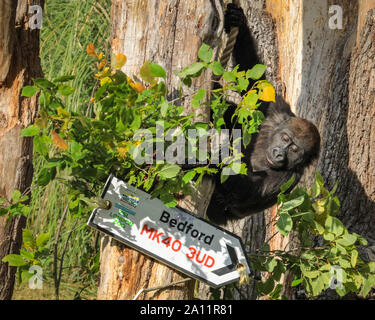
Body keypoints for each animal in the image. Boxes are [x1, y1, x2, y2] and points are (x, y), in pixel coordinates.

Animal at [207, 5, 322, 225]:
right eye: (285, 138)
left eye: (294, 149)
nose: (279, 153)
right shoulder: (276, 112)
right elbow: (257, 82)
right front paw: (237, 19)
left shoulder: (288, 179)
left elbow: (248, 191)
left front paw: (209, 160)